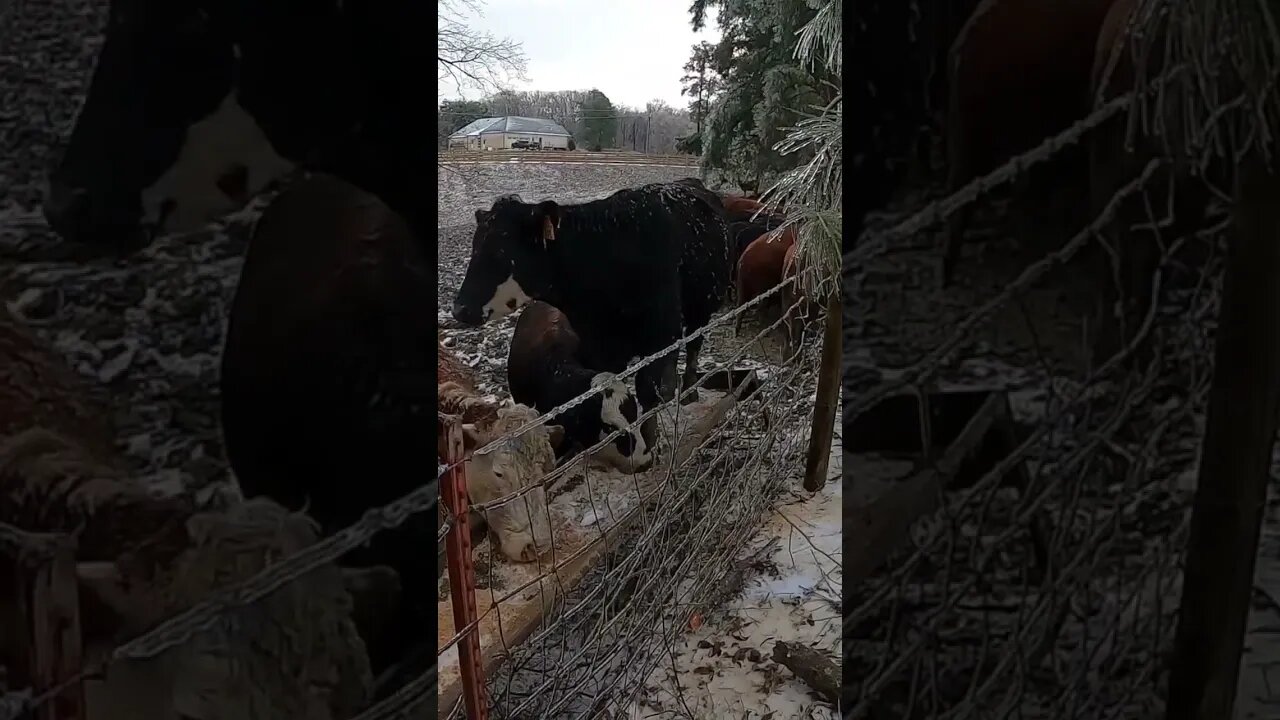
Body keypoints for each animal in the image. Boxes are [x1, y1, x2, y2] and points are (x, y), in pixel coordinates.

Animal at [450, 183, 732, 425]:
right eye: (474, 247)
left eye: (500, 252)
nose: (460, 309)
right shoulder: (599, 348)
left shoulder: (660, 336)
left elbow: (647, 396)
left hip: (701, 308)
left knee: (693, 345)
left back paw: (689, 392)